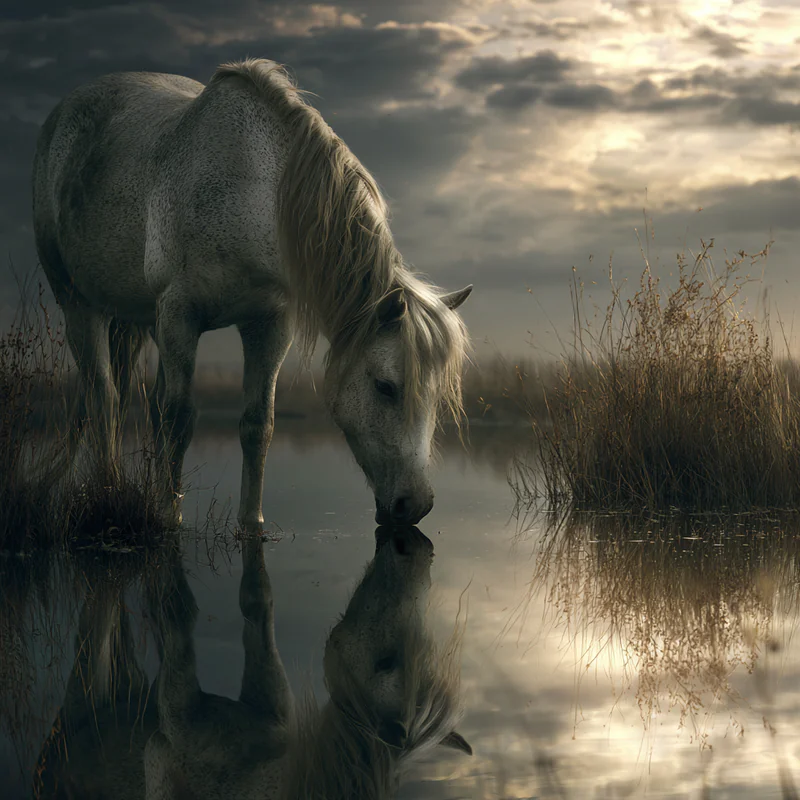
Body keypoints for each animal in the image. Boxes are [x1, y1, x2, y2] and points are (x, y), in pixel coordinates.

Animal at [32, 58, 473, 528]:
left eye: (438, 394)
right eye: (385, 387)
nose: (416, 505)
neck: (247, 193)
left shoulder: (268, 325)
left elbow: (257, 424)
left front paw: (251, 522)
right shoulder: (180, 316)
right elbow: (179, 419)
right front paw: (169, 518)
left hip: (139, 320)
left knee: (140, 403)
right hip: (80, 304)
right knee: (104, 397)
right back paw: (109, 486)